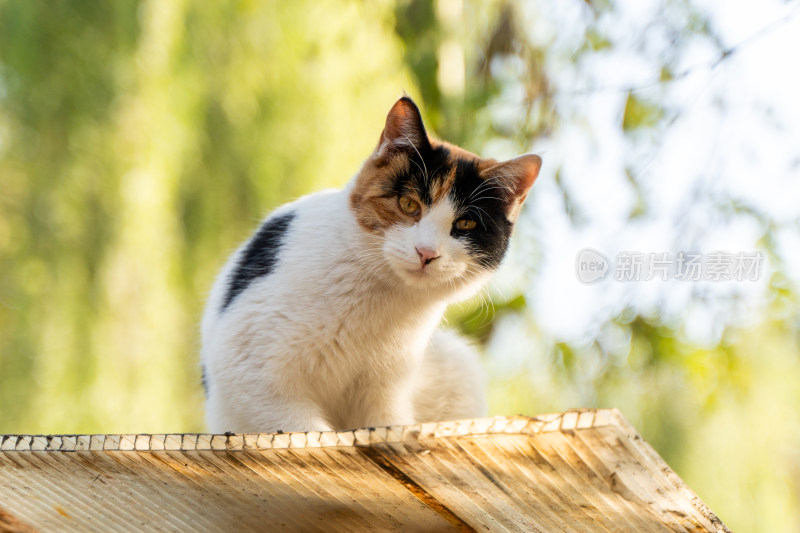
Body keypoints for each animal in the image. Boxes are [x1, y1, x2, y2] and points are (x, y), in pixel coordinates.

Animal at [200, 97, 540, 434]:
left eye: (465, 224)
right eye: (409, 205)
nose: (426, 252)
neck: (381, 299)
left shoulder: (384, 391)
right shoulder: (248, 364)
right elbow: (301, 426)